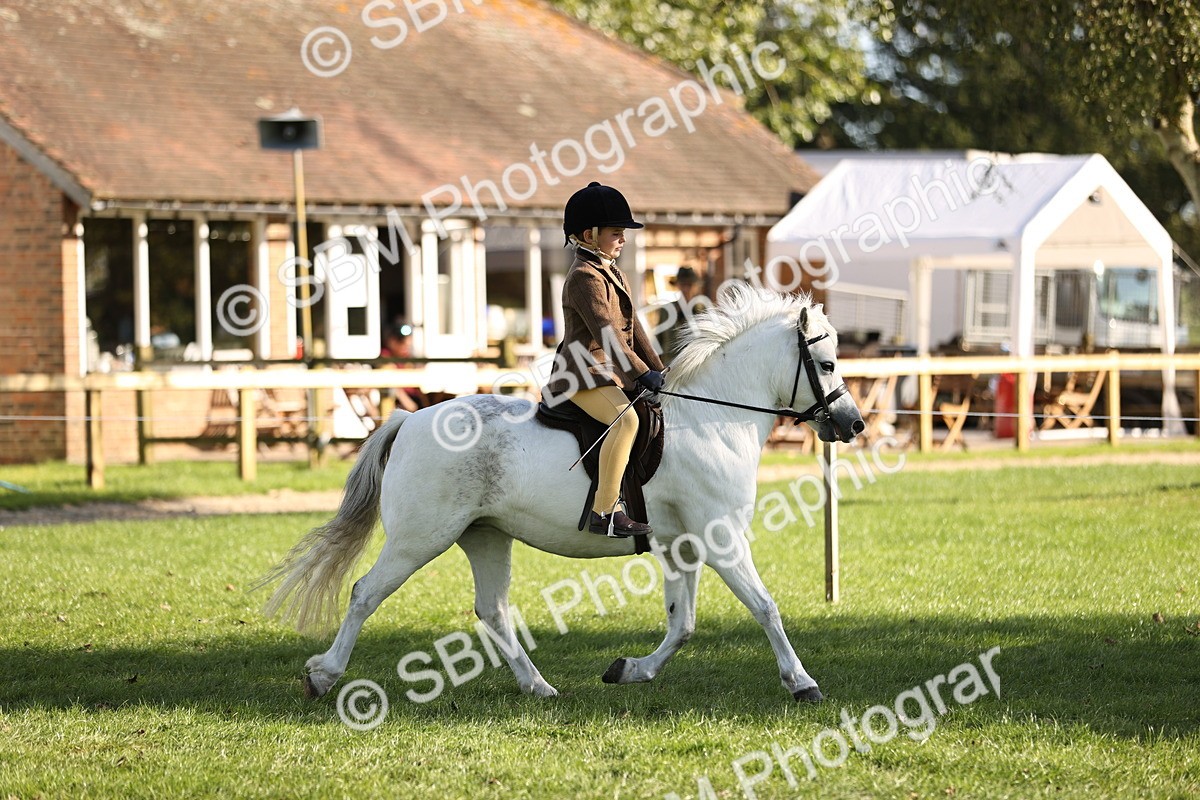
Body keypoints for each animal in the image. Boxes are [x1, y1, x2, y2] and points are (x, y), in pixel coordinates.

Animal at [259, 285, 865, 703]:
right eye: (828, 363)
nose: (853, 424)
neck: (712, 419)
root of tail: (409, 420)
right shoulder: (722, 539)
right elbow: (765, 607)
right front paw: (802, 682)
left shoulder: (683, 546)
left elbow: (683, 624)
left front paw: (630, 670)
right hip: (420, 538)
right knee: (366, 593)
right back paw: (323, 676)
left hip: (485, 536)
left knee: (492, 609)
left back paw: (538, 686)